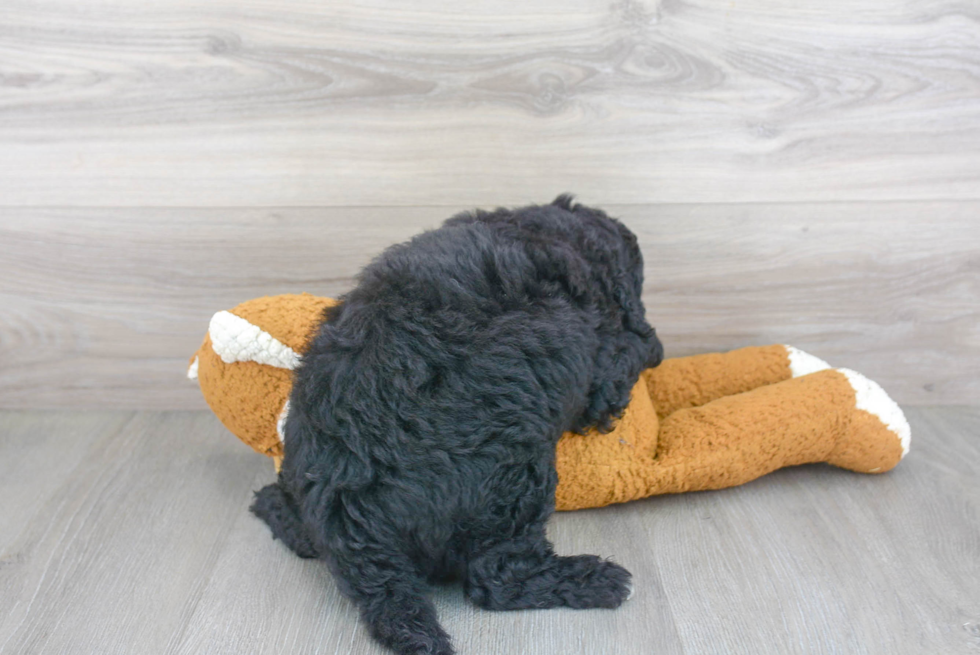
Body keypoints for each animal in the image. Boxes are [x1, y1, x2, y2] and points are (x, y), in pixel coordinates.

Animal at [253, 196, 668, 655]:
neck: (544, 232)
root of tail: (346, 518)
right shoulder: (604, 365)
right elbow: (630, 353)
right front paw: (649, 345)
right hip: (514, 476)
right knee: (496, 578)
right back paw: (599, 580)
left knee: (298, 528)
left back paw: (274, 505)